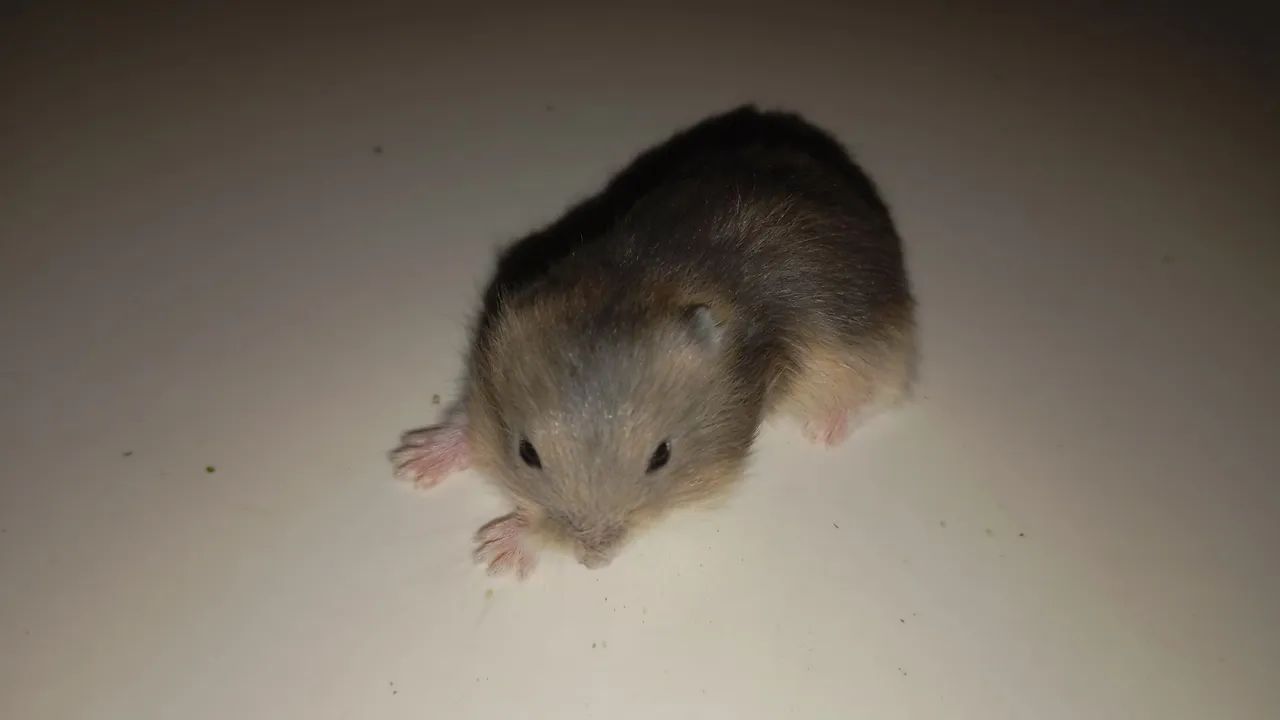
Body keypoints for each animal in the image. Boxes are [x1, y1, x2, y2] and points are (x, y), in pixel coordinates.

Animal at [391, 105, 916, 578]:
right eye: (526, 453)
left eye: (661, 457)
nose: (594, 564)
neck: (640, 287)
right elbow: (468, 417)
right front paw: (409, 465)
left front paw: (495, 554)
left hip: (874, 354)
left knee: (884, 392)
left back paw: (823, 430)